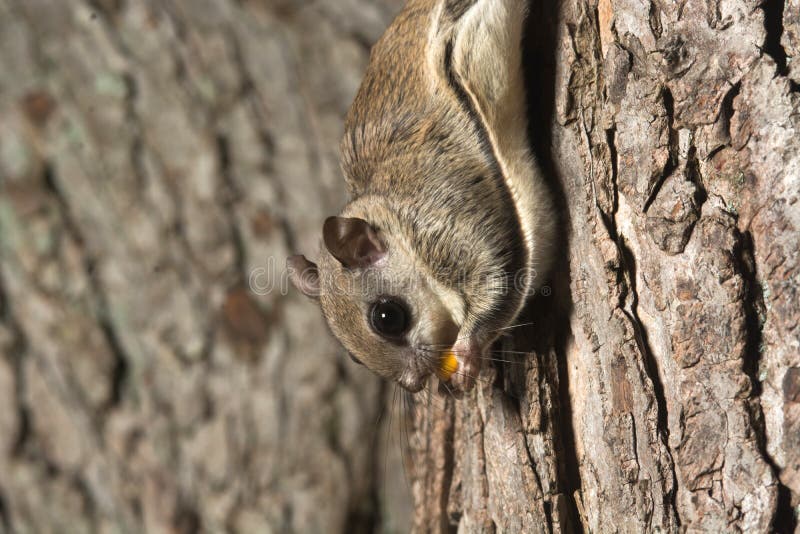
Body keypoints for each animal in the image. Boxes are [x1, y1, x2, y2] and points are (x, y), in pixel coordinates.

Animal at [287, 0, 555, 394]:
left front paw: (470, 351)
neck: (393, 218)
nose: (413, 385)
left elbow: (498, 278)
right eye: (353, 356)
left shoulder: (448, 223)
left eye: (388, 317)